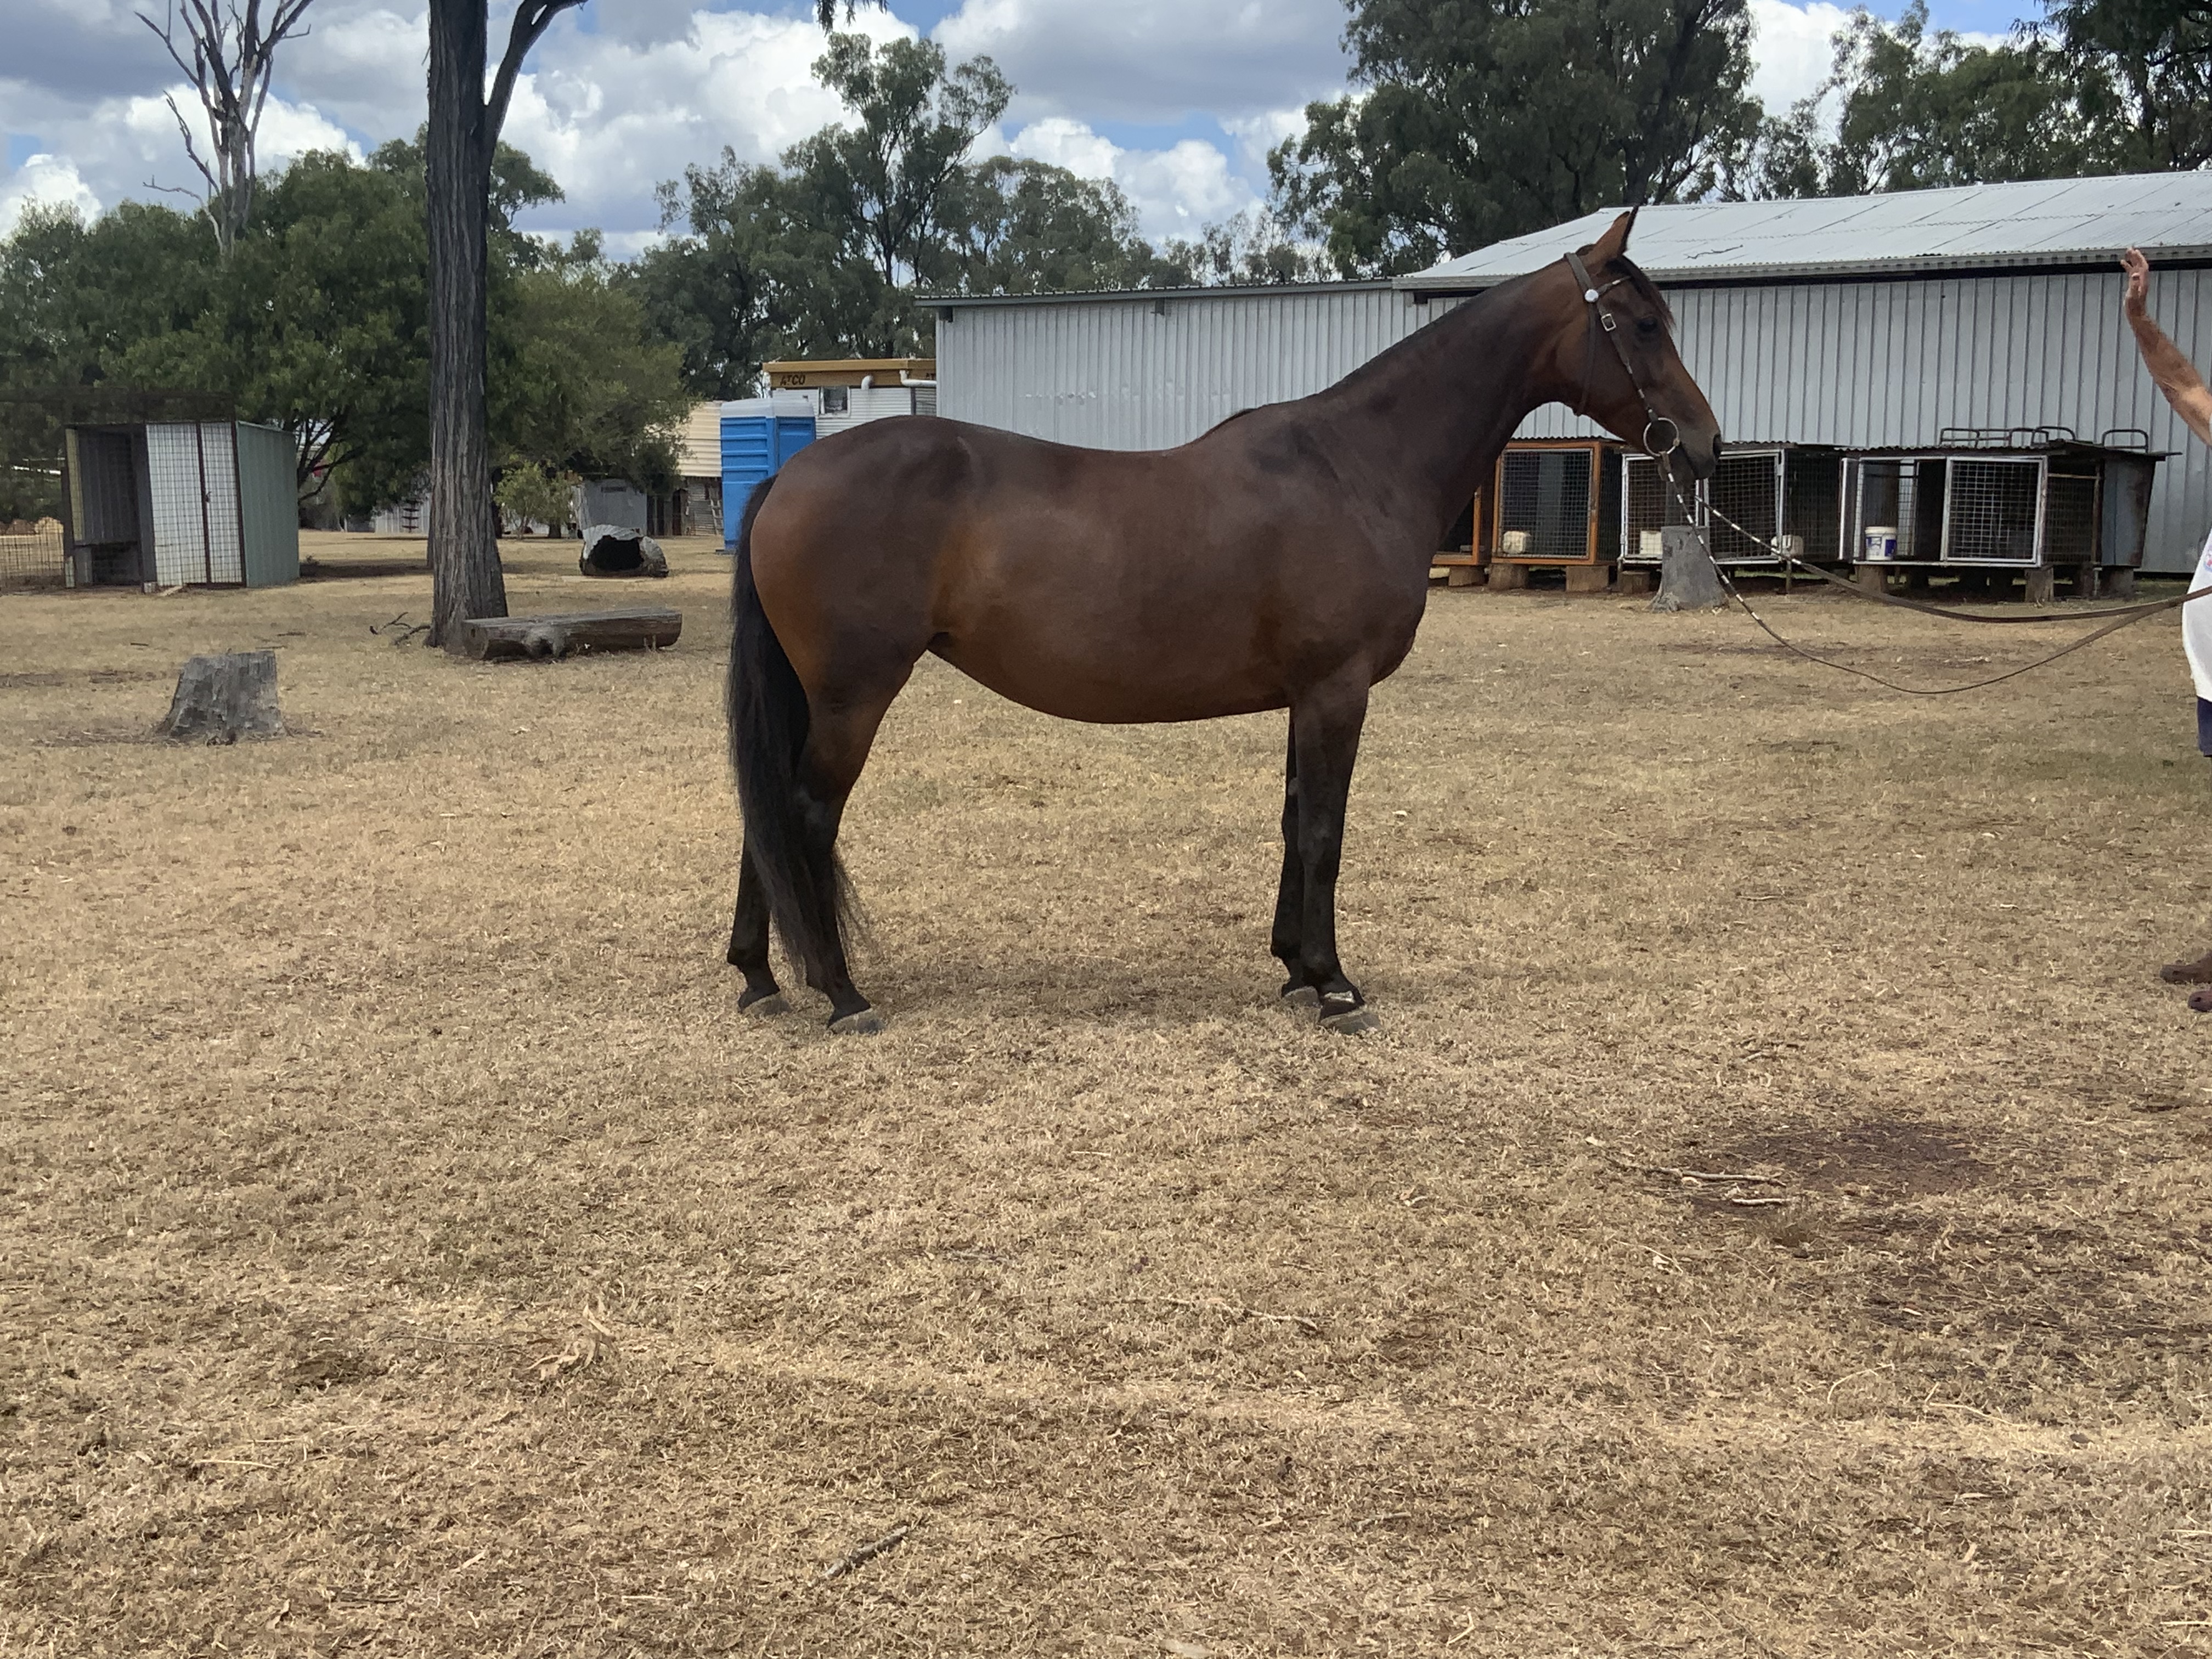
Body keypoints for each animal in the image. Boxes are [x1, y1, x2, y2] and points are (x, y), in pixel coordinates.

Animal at [724, 209, 1721, 1035]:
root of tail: (790, 476)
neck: (1357, 465)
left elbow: (1292, 820)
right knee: (805, 813)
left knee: (764, 813)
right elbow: (1324, 831)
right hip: (854, 694)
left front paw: (1295, 970)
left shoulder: (1305, 696)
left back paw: (759, 976)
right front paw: (1334, 985)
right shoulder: (1336, 691)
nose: (1704, 444)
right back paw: (841, 992)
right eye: (1641, 326)